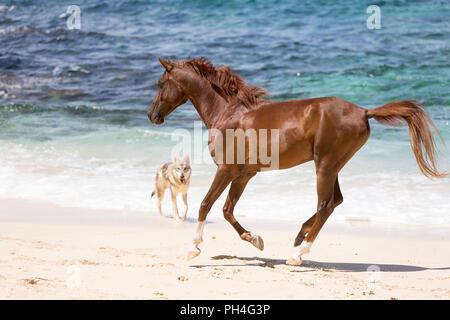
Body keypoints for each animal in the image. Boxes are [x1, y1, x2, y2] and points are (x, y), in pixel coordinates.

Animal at [147, 57, 442, 264]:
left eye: (160, 84)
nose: (152, 115)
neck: (227, 112)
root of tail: (364, 111)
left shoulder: (226, 170)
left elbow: (205, 205)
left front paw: (193, 248)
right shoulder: (243, 174)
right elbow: (227, 210)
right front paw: (255, 239)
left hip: (325, 166)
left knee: (325, 205)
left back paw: (298, 254)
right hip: (332, 166)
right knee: (335, 201)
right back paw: (300, 235)